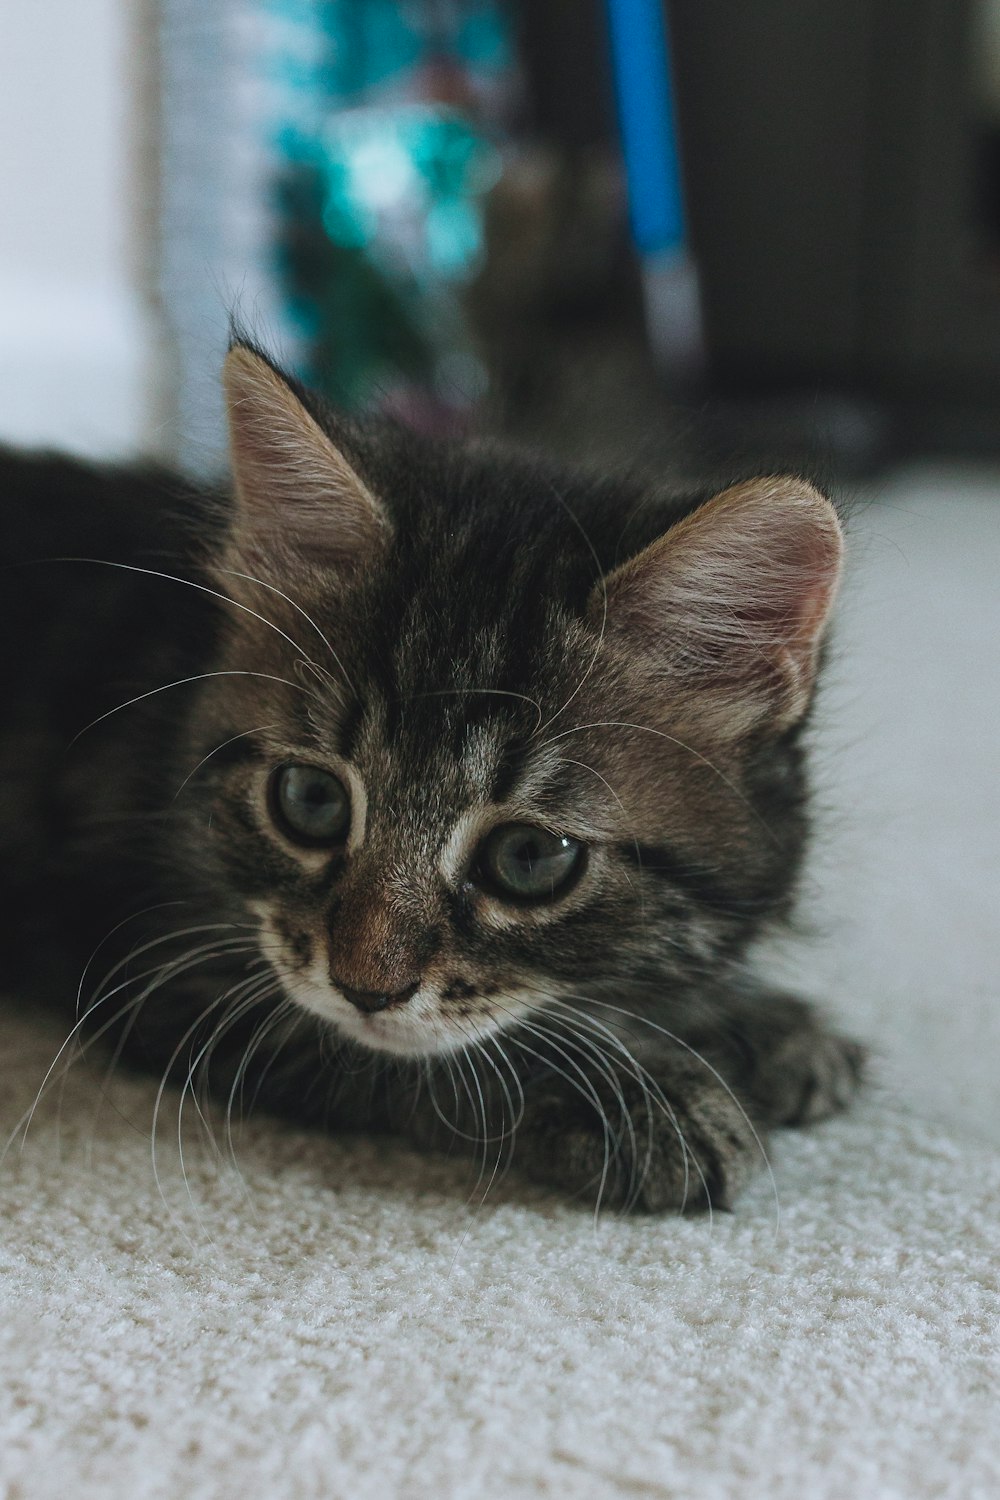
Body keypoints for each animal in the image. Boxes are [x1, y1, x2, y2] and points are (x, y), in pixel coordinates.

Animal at [0, 345, 863, 1212]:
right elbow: (438, 1061)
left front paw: (761, 1021)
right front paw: (640, 1097)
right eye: (309, 800)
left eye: (530, 858)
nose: (365, 987)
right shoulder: (150, 958)